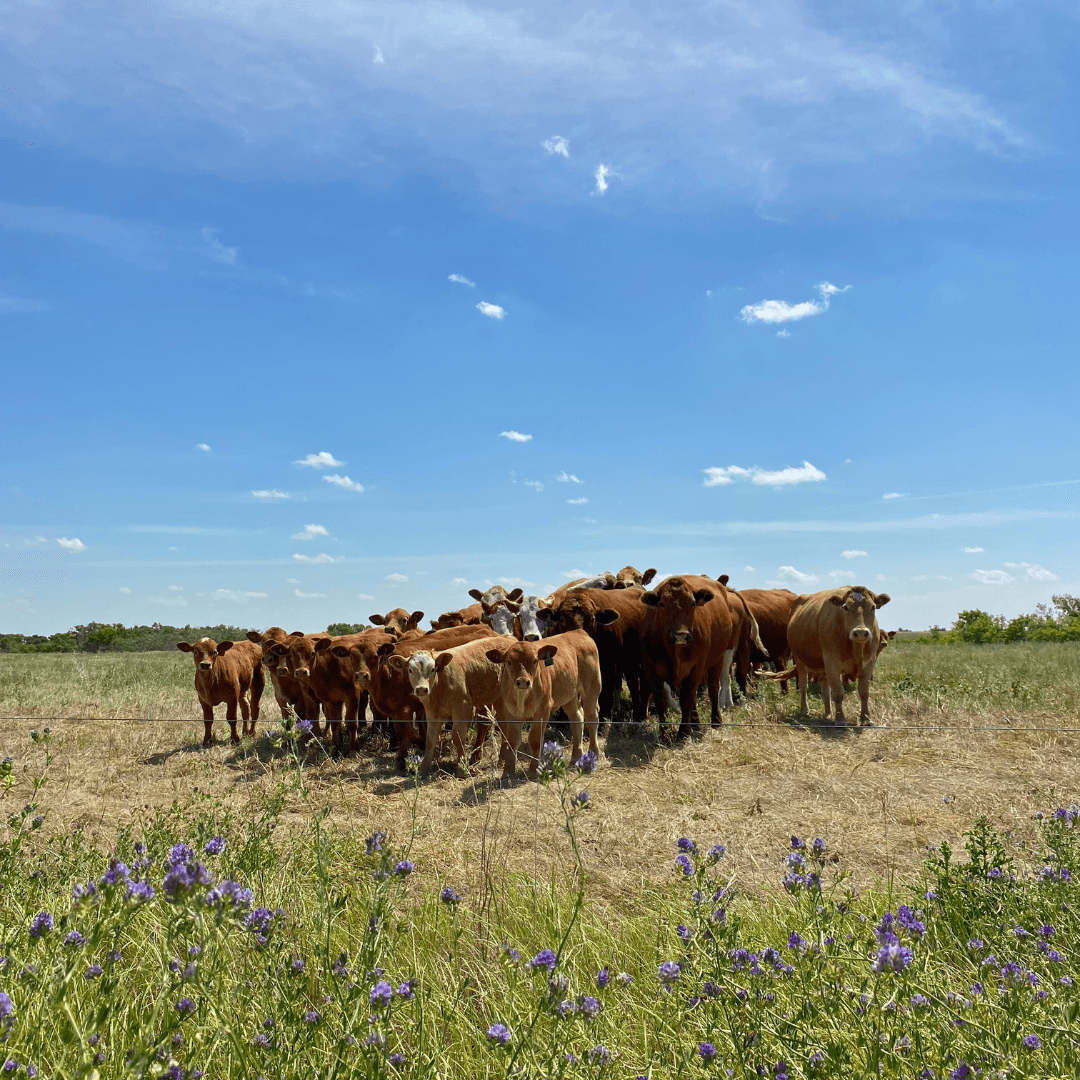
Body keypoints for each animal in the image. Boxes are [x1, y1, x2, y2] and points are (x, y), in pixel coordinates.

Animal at [639, 574, 743, 743]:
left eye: (693, 603)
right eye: (662, 604)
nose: (681, 635)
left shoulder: (697, 666)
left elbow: (687, 699)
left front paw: (683, 732)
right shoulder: (651, 669)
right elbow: (661, 701)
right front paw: (665, 734)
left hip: (718, 659)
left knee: (713, 689)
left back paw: (715, 721)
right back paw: (695, 723)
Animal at [786, 583, 894, 725]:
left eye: (873, 607)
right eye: (846, 607)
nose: (860, 632)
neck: (856, 649)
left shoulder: (869, 663)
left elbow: (864, 692)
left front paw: (865, 718)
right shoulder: (832, 662)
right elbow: (837, 692)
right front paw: (840, 719)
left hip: (822, 665)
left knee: (825, 689)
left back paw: (828, 713)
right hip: (799, 660)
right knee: (803, 685)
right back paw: (805, 710)